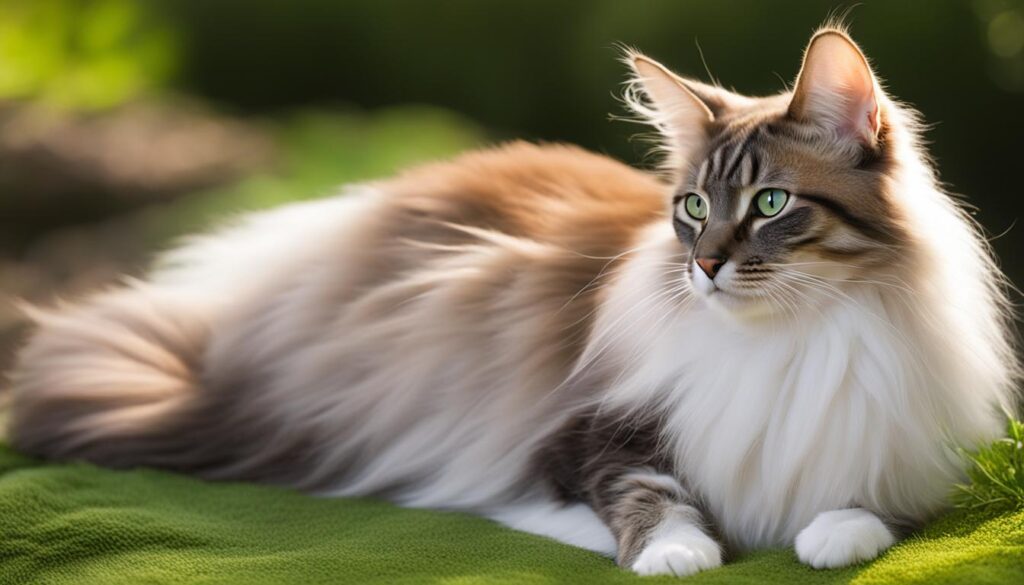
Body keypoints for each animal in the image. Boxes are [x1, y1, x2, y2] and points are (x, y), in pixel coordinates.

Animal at [4, 24, 1019, 577]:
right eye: (693, 208)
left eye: (770, 204)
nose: (703, 268)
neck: (791, 339)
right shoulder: (576, 435)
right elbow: (647, 494)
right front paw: (676, 550)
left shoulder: (924, 454)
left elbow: (869, 505)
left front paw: (831, 533)